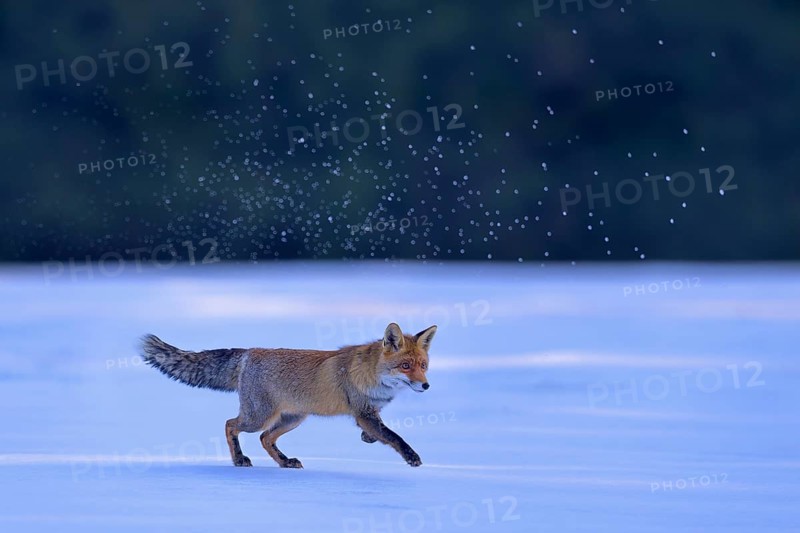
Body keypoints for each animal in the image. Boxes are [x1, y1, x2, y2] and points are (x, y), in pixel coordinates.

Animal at [140, 323, 436, 469]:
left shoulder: (369, 412)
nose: (425, 386)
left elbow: (379, 433)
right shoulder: (363, 411)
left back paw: (284, 462)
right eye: (405, 366)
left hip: (292, 419)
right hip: (258, 417)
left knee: (265, 438)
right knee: (230, 425)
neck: (375, 376)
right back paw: (239, 459)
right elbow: (394, 437)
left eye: (423, 365)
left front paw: (367, 438)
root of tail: (249, 352)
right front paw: (411, 457)